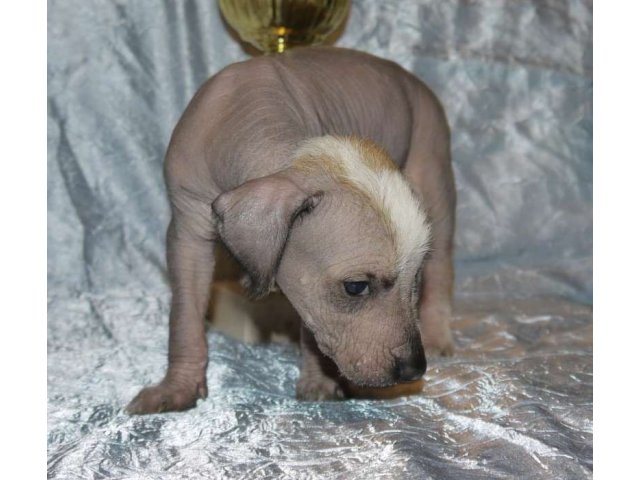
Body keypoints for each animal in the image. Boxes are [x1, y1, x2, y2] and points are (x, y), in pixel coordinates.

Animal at [126, 46, 456, 412]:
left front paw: (318, 381)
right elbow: (184, 315)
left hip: (432, 170)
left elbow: (311, 327)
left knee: (443, 261)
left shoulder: (308, 287)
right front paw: (177, 387)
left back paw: (438, 331)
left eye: (415, 278)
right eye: (356, 287)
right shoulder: (187, 233)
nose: (414, 369)